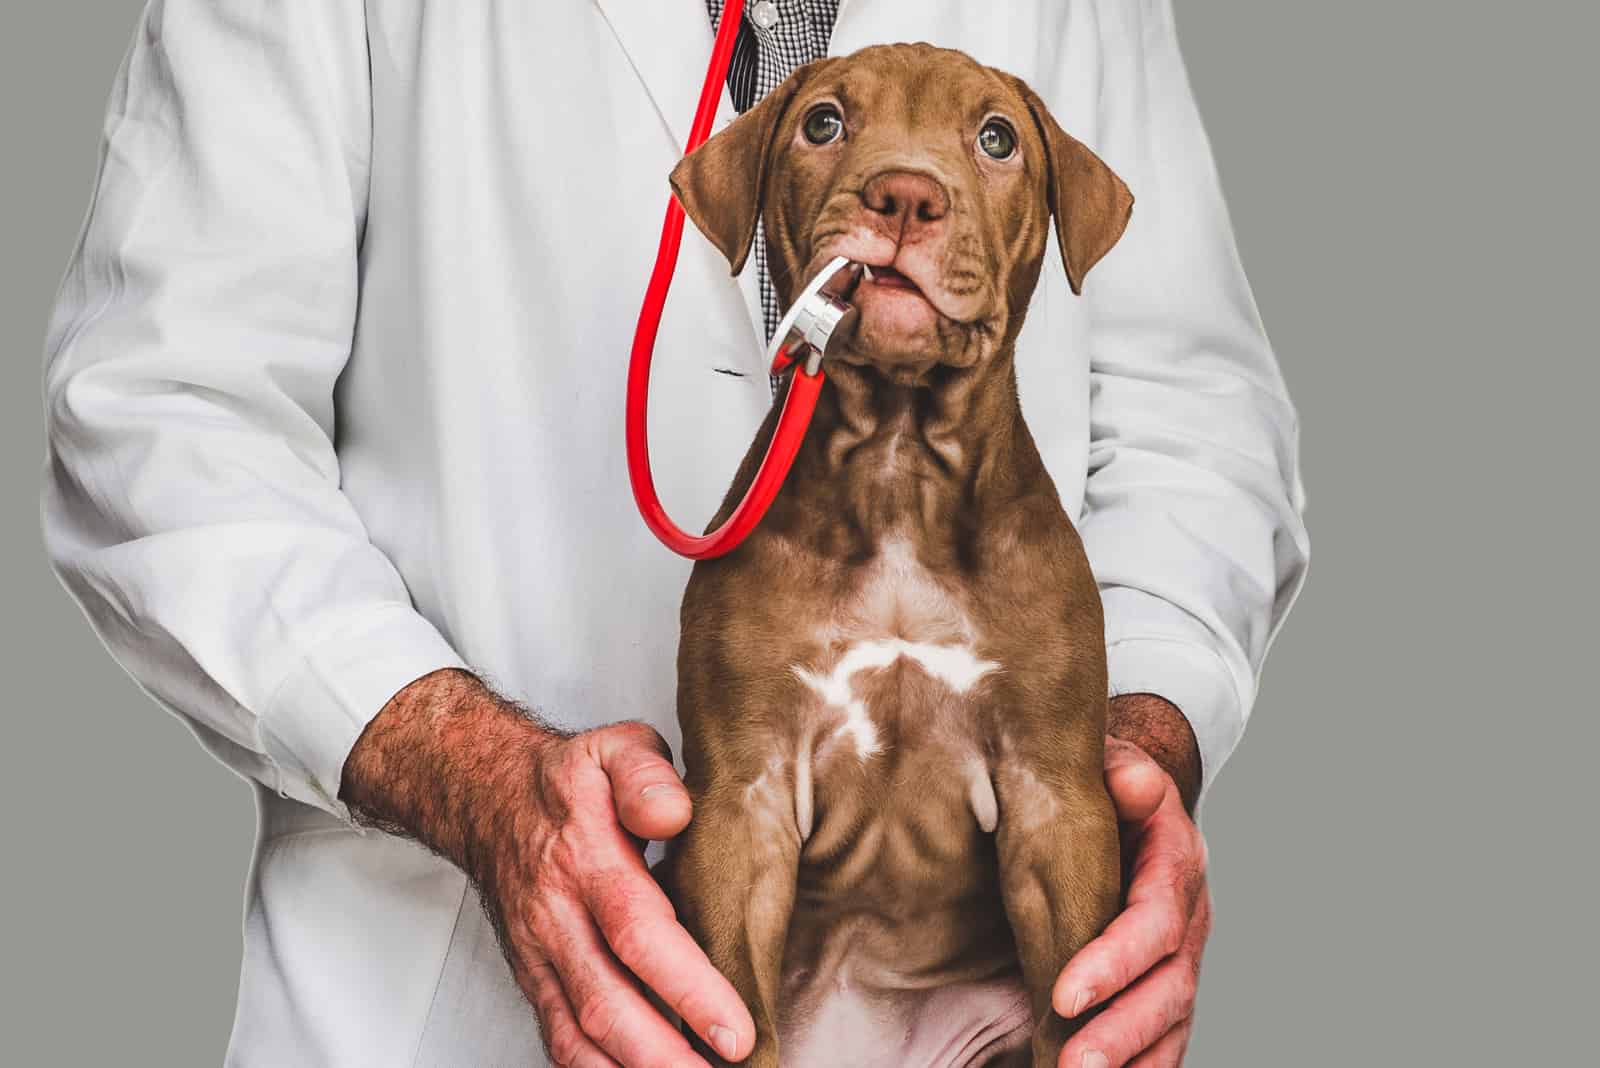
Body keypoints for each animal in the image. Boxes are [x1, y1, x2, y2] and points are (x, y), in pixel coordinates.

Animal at [662, 43, 1139, 1068]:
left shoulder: (1058, 805)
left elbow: (1076, 1005)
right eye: (824, 123)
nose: (905, 195)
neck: (897, 463)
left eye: (996, 138)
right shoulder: (741, 805)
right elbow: (735, 1013)